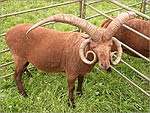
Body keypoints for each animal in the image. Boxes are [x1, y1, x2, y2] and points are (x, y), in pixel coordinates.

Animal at [5, 12, 135, 107]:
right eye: (93, 46)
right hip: (19, 57)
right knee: (16, 75)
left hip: (24, 59)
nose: (105, 65)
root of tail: (8, 33)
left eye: (109, 45)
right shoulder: (71, 73)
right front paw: (72, 104)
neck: (81, 51)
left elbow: (81, 81)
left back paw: (29, 76)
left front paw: (80, 94)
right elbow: (71, 88)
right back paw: (24, 94)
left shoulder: (81, 71)